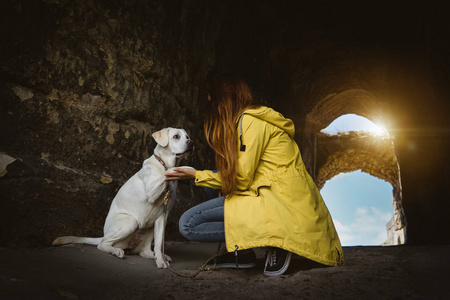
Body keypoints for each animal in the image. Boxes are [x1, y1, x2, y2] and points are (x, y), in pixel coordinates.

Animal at [52, 127, 193, 268]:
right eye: (176, 136)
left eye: (187, 137)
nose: (191, 142)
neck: (163, 163)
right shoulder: (152, 192)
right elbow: (168, 172)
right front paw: (185, 168)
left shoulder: (162, 217)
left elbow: (159, 244)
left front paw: (161, 260)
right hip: (130, 222)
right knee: (103, 244)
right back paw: (116, 251)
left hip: (149, 227)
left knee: (144, 251)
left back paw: (158, 256)